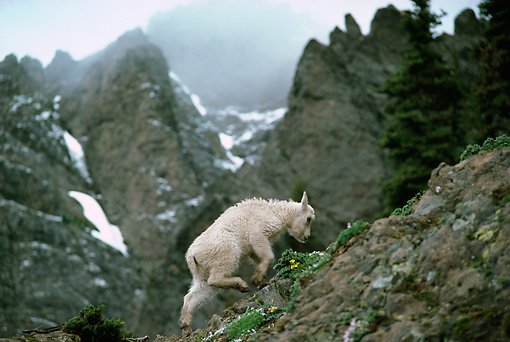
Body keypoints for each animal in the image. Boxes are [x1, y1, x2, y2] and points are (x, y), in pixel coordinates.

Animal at [179, 192, 314, 336]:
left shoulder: (251, 249)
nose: (306, 238)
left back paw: (186, 326)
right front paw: (257, 278)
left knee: (196, 294)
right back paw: (241, 284)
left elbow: (258, 258)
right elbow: (268, 256)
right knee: (215, 278)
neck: (276, 213)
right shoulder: (257, 233)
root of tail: (192, 256)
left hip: (202, 271)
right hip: (226, 253)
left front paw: (262, 281)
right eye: (308, 219)